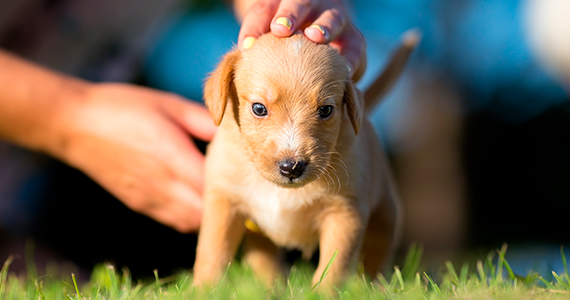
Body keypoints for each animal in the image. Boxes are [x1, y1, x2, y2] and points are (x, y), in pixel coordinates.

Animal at [193, 31, 420, 290]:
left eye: (326, 110)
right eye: (259, 108)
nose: (292, 167)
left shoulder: (345, 213)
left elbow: (335, 265)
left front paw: (323, 293)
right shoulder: (222, 202)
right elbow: (213, 251)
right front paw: (205, 289)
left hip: (386, 216)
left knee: (377, 259)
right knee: (266, 261)